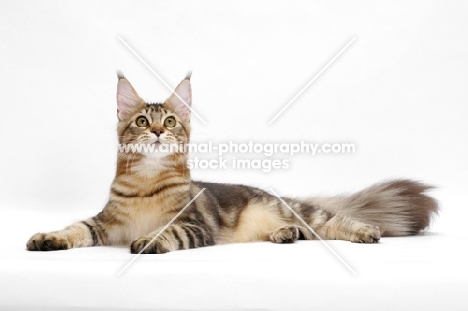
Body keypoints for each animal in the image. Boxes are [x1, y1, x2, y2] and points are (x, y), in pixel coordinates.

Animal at [26, 74, 438, 255]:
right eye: (143, 121)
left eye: (170, 121)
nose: (158, 131)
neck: (146, 182)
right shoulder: (102, 223)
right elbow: (74, 228)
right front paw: (48, 237)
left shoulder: (194, 225)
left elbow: (167, 233)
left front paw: (150, 240)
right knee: (304, 232)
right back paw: (284, 235)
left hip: (306, 213)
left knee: (330, 223)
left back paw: (365, 230)